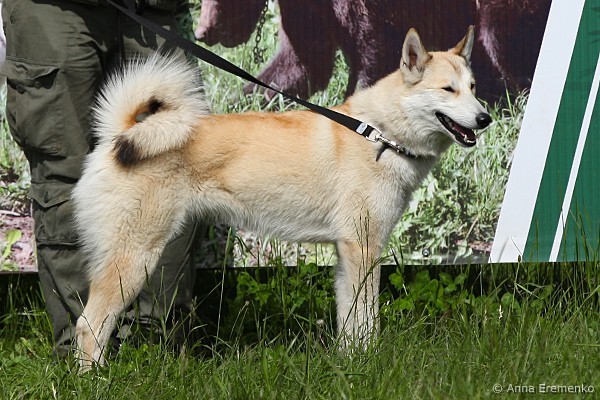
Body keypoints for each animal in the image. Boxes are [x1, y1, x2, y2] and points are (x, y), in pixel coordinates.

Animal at [73, 26, 491, 371]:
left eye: (473, 87)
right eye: (448, 89)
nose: (485, 118)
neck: (379, 133)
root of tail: (120, 135)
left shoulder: (346, 253)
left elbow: (349, 324)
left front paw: (351, 364)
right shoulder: (364, 248)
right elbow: (367, 320)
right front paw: (370, 363)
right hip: (134, 259)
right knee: (88, 326)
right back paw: (94, 382)